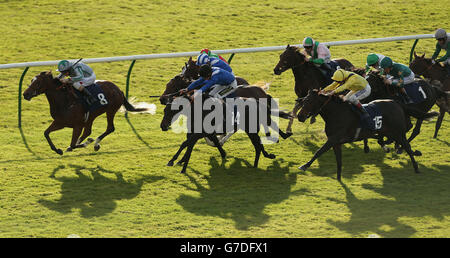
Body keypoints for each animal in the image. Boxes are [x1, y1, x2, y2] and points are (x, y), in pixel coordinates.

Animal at [298, 89, 438, 180]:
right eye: (304, 100)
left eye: (310, 102)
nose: (300, 116)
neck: (336, 113)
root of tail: (397, 103)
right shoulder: (336, 143)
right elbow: (338, 161)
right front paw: (338, 178)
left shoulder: (333, 139)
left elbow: (319, 151)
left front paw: (304, 166)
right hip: (387, 131)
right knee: (390, 141)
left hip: (398, 132)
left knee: (406, 146)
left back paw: (416, 167)